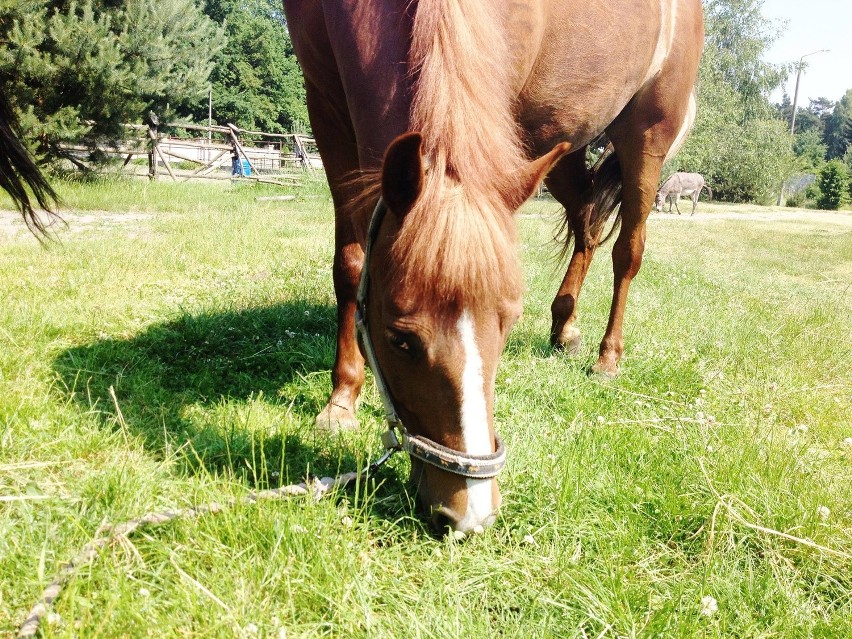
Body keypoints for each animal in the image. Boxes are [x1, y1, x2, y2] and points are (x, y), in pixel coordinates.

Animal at [282, 0, 704, 536]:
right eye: (399, 339)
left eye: (507, 325)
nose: (471, 513)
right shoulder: (325, 106)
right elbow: (350, 266)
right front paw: (341, 401)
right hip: (560, 148)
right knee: (586, 219)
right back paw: (565, 326)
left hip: (645, 135)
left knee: (627, 251)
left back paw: (608, 357)